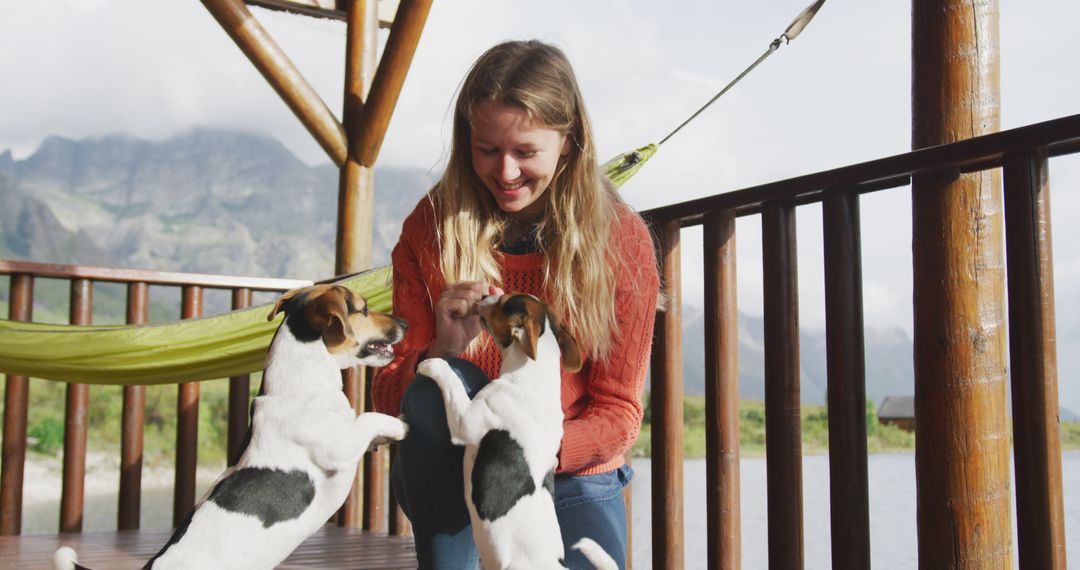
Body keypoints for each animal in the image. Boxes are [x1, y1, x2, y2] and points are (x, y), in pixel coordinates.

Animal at [54, 285, 410, 570]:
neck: (300, 383)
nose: (405, 323)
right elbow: (369, 417)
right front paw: (401, 424)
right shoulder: (338, 447)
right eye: (363, 308)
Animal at [419, 293, 617, 570]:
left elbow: (453, 381)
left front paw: (433, 364)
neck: (531, 376)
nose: (484, 295)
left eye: (502, 301)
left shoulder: (465, 423)